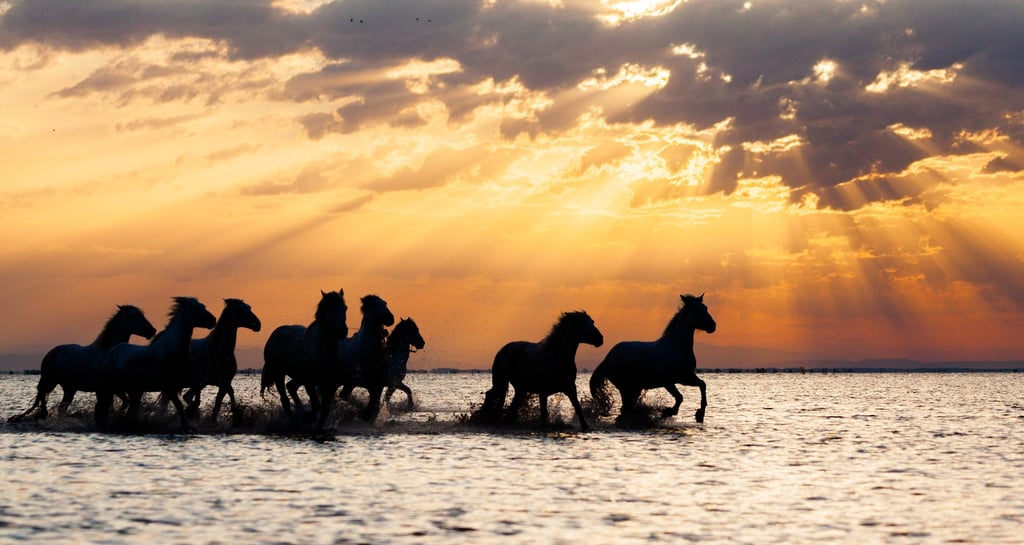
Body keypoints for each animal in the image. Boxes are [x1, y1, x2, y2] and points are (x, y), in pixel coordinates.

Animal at [9, 305, 157, 422]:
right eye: (133, 316)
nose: (152, 331)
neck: (109, 353)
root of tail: (51, 353)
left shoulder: (115, 388)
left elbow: (124, 402)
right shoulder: (107, 388)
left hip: (69, 389)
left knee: (60, 408)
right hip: (50, 382)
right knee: (45, 402)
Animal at [95, 297, 217, 429]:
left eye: (203, 306)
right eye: (194, 308)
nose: (213, 320)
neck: (172, 350)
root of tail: (113, 351)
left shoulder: (185, 380)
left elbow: (197, 389)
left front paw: (191, 411)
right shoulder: (169, 387)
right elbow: (179, 406)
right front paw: (187, 420)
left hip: (135, 391)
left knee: (128, 411)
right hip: (110, 388)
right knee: (103, 407)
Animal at [260, 290, 348, 420]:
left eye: (345, 308)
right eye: (329, 309)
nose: (342, 331)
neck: (321, 348)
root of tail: (273, 335)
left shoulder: (327, 384)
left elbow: (325, 409)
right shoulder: (309, 383)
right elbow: (316, 406)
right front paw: (306, 416)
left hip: (298, 376)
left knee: (290, 387)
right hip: (279, 374)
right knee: (285, 399)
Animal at [321, 294, 394, 427]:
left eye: (385, 303)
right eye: (373, 305)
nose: (390, 318)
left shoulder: (377, 386)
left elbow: (373, 406)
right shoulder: (355, 382)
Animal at [590, 293, 716, 424]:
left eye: (705, 308)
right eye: (694, 309)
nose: (712, 326)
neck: (676, 347)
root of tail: (607, 358)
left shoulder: (686, 377)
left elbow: (702, 384)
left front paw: (700, 414)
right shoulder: (669, 381)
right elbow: (680, 397)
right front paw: (668, 412)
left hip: (635, 387)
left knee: (626, 409)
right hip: (626, 387)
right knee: (625, 409)